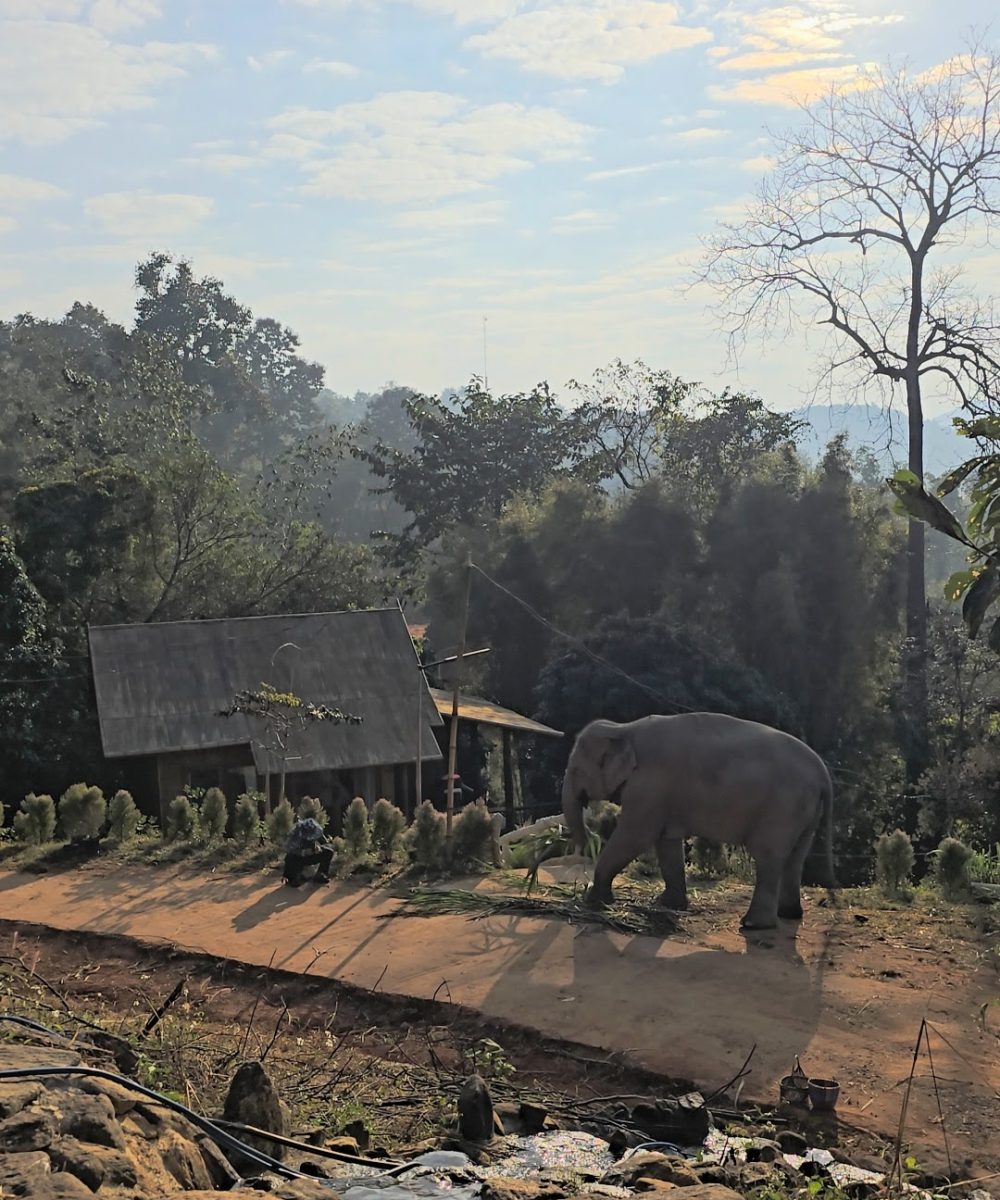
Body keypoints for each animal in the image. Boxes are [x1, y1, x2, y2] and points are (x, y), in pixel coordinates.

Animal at [561, 713, 836, 930]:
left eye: (576, 770)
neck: (622, 728)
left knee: (768, 856)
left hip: (783, 807)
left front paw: (594, 901)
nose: (591, 837)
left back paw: (753, 925)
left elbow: (636, 835)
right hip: (805, 810)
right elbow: (667, 842)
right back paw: (789, 914)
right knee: (795, 857)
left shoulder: (650, 786)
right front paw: (667, 905)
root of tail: (822, 772)